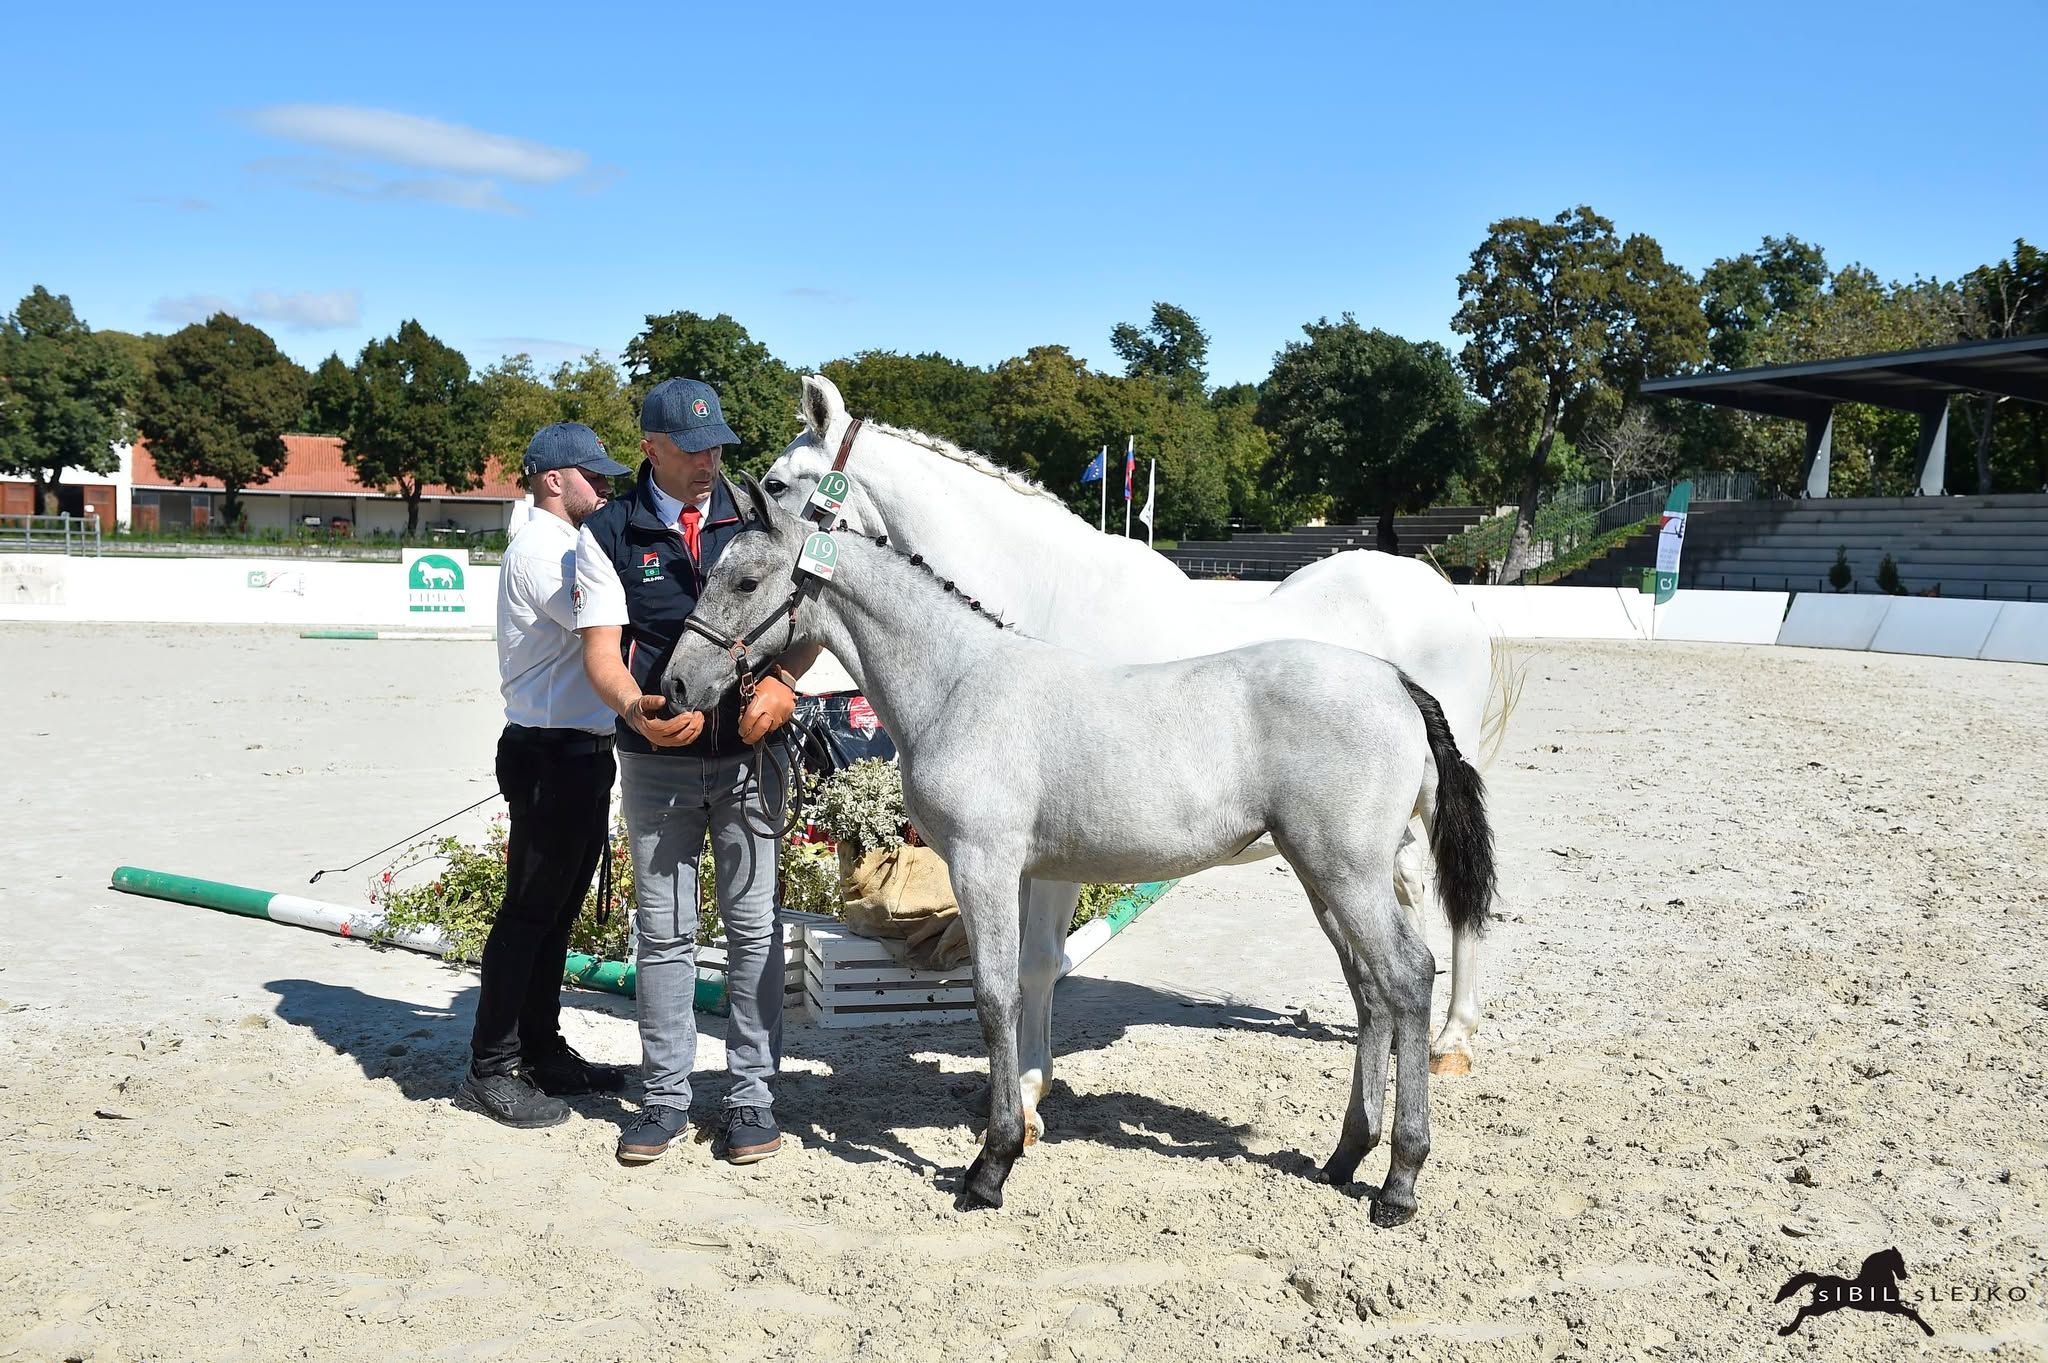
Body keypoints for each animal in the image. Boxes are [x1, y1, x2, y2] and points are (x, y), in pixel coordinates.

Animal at [659, 474, 1495, 1226]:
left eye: (745, 578)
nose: (674, 686)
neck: (959, 683)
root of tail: (1395, 682)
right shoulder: (1024, 872)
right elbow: (1021, 988)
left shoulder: (985, 864)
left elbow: (995, 997)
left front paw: (991, 1164)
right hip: (1324, 875)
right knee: (1372, 993)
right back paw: (1346, 1155)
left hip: (1348, 873)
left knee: (1409, 976)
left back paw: (1399, 1181)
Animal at [764, 376, 1513, 1101]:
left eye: (773, 486)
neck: (1032, 607)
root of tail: (1448, 595)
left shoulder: (1053, 855)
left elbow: (1037, 963)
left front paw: (1029, 1091)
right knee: (1411, 893)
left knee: (1458, 900)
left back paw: (1453, 1039)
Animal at [1775, 1248, 1934, 1337]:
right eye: (1899, 1261)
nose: (1903, 1276)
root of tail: (1820, 1279)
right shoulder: (1890, 1307)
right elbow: (1912, 1312)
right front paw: (1930, 1331)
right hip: (1823, 1307)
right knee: (1803, 1310)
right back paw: (1786, 1331)